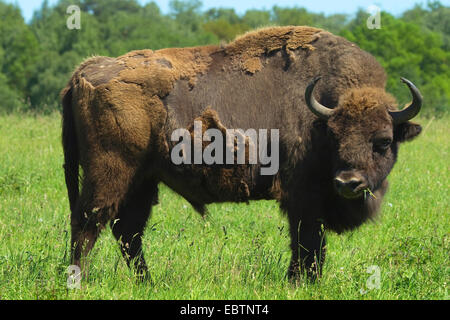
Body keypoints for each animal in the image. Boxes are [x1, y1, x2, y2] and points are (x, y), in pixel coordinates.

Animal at [60, 26, 422, 282]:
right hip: (109, 174)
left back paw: (146, 283)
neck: (321, 111)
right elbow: (307, 242)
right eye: (334, 136)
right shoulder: (303, 197)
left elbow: (310, 244)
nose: (349, 183)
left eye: (384, 141)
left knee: (127, 231)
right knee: (88, 222)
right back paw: (80, 281)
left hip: (143, 180)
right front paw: (299, 282)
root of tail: (84, 71)